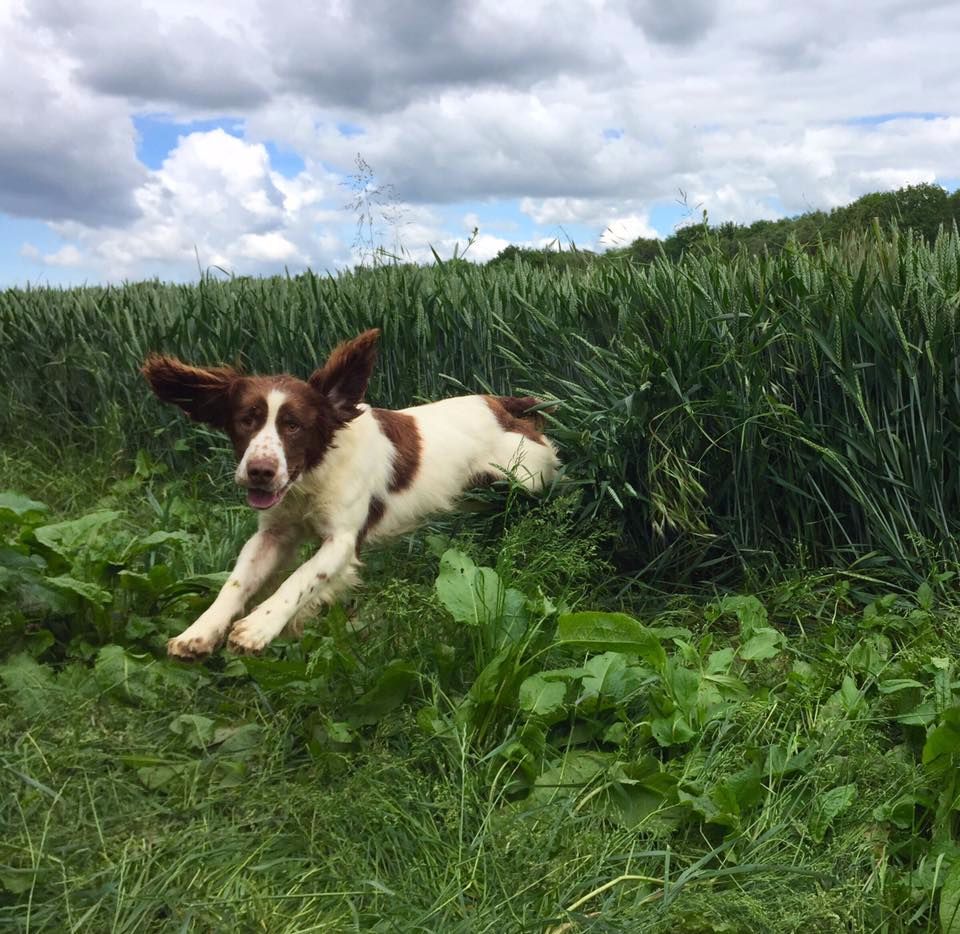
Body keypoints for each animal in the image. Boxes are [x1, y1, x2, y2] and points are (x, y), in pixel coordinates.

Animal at [144, 328, 564, 660]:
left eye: (294, 425)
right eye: (246, 420)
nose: (259, 472)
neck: (313, 474)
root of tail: (506, 404)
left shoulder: (343, 538)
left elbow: (302, 577)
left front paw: (260, 626)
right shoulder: (273, 532)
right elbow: (236, 580)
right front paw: (198, 631)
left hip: (529, 480)